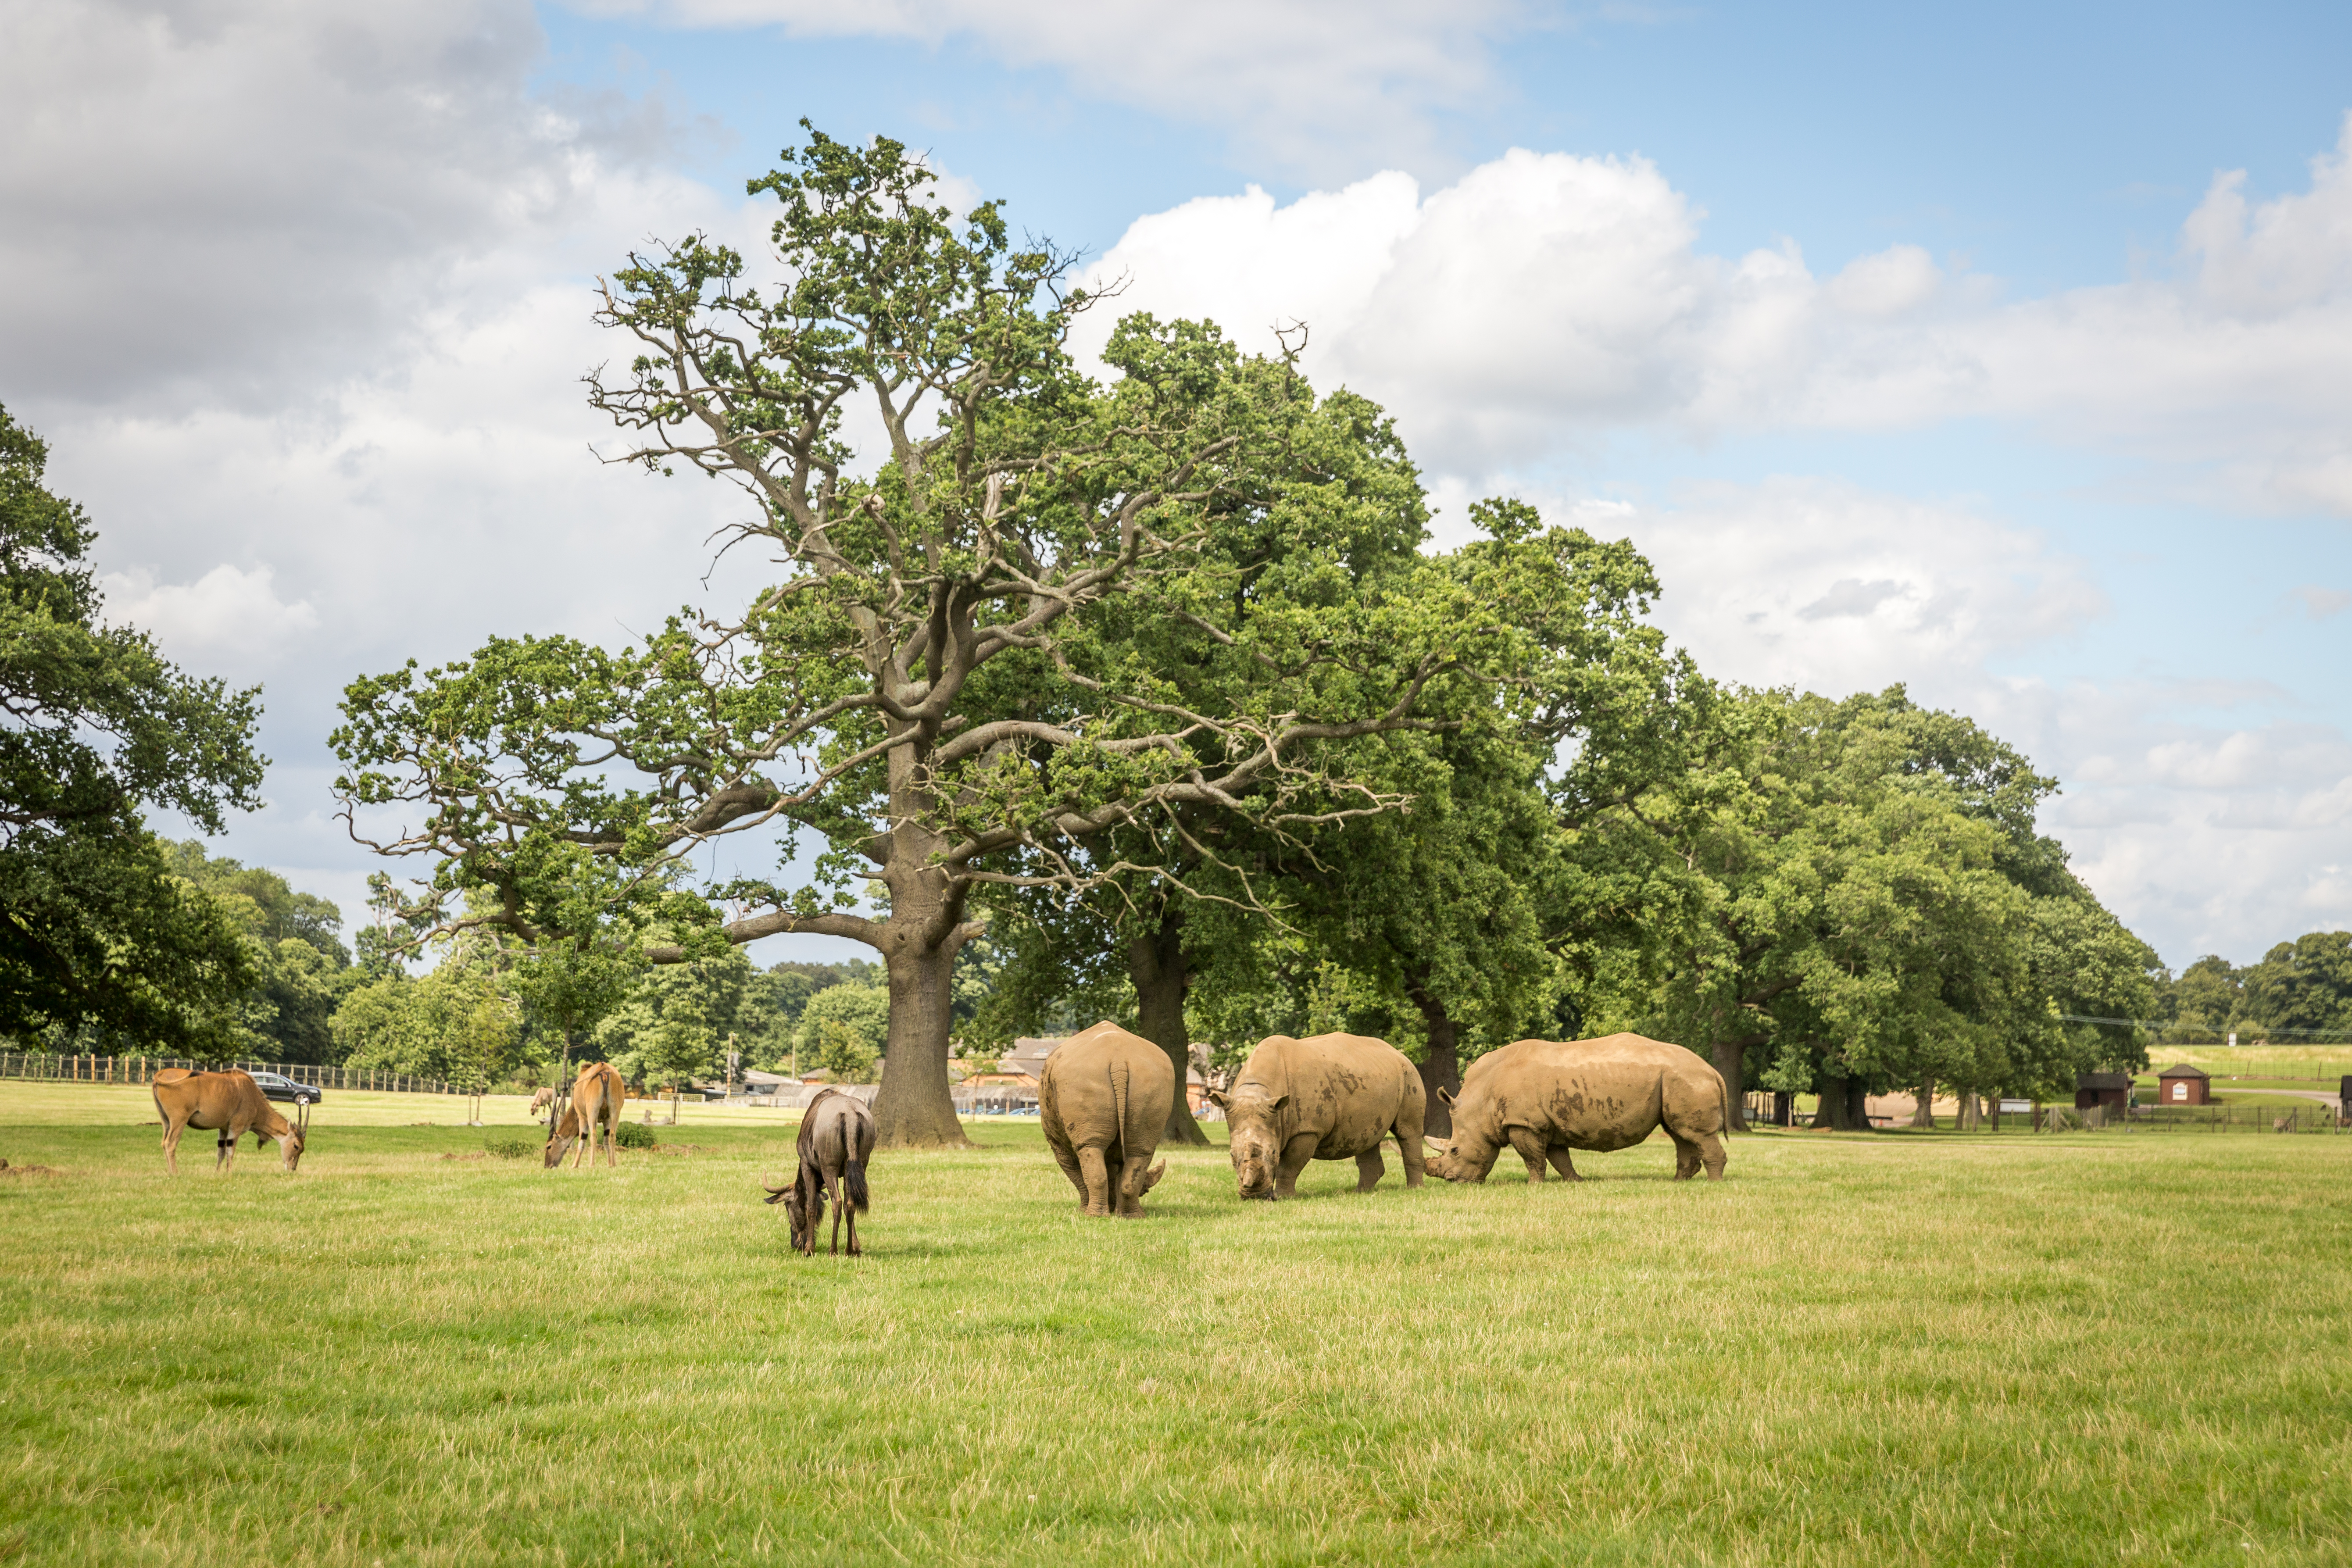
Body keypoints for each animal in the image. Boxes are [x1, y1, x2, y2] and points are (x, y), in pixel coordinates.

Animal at [150, 1067, 303, 1175]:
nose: (292, 1169)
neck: (253, 1096)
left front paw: (218, 1173)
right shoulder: (236, 1126)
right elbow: (230, 1151)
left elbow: (221, 1152)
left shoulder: (223, 1129)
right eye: (296, 1146)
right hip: (179, 1120)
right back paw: (176, 1173)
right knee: (170, 1143)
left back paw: (170, 1172)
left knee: (164, 1143)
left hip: (166, 1121)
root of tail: (161, 1074)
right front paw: (229, 1173)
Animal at [543, 1062, 626, 1171]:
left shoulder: (582, 1117)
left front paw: (574, 1165)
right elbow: (606, 1141)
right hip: (615, 1112)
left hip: (592, 1113)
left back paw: (592, 1165)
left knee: (593, 1136)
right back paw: (614, 1164)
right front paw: (610, 1164)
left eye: (549, 1146)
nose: (547, 1166)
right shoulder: (606, 1119)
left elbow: (582, 1140)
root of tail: (604, 1069)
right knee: (612, 1135)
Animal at [1040, 1025, 1176, 1222]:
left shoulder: (1058, 1143)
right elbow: (1114, 1172)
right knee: (1140, 1150)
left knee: (1091, 1147)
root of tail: (1118, 1060)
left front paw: (1083, 1211)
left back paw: (1094, 1216)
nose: (1144, 1192)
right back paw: (1133, 1217)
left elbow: (1078, 1177)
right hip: (1154, 1080)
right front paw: (1113, 1210)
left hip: (1082, 1078)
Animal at [1204, 1029, 1420, 1204]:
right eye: (1232, 1155)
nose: (1253, 1197)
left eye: (1274, 1153)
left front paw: (1284, 1197)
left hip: (1409, 1074)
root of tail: (1397, 1052)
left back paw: (1415, 1190)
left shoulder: (1308, 1130)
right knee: (1368, 1135)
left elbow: (1289, 1165)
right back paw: (1360, 1193)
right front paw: (1270, 1196)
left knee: (1408, 1133)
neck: (1259, 1090)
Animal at [1411, 1034, 1731, 1185]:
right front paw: (1576, 1181)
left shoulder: (1523, 1123)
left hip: (1687, 1077)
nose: (1453, 1181)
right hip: (1677, 1079)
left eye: (1454, 1151)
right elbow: (1558, 1158)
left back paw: (1713, 1184)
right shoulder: (1547, 1124)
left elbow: (1533, 1158)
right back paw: (1679, 1182)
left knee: (1697, 1134)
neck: (1480, 1102)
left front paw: (1533, 1186)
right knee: (1680, 1133)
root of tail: (1712, 1070)